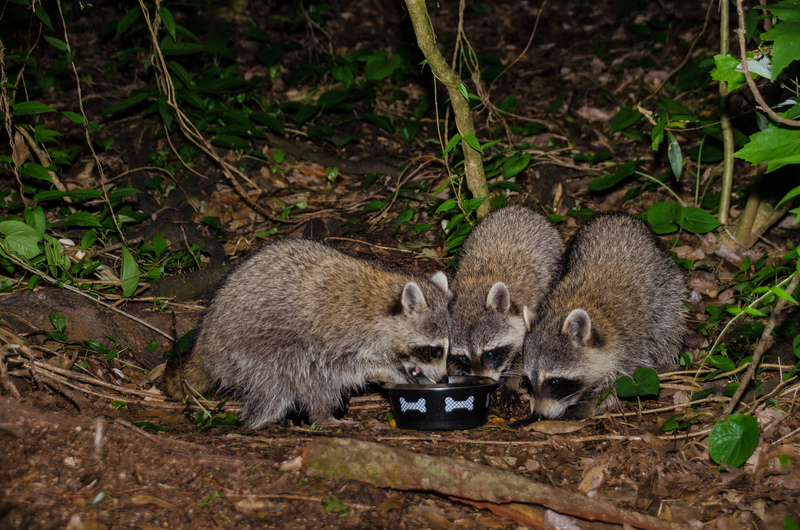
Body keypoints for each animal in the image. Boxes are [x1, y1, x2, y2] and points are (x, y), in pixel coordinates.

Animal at [162, 238, 452, 428]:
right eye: (435, 350)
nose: (443, 378)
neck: (380, 305)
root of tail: (203, 337)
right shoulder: (335, 333)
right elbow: (346, 365)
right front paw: (387, 371)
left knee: (313, 380)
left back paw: (321, 415)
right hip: (246, 346)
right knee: (282, 376)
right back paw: (265, 418)